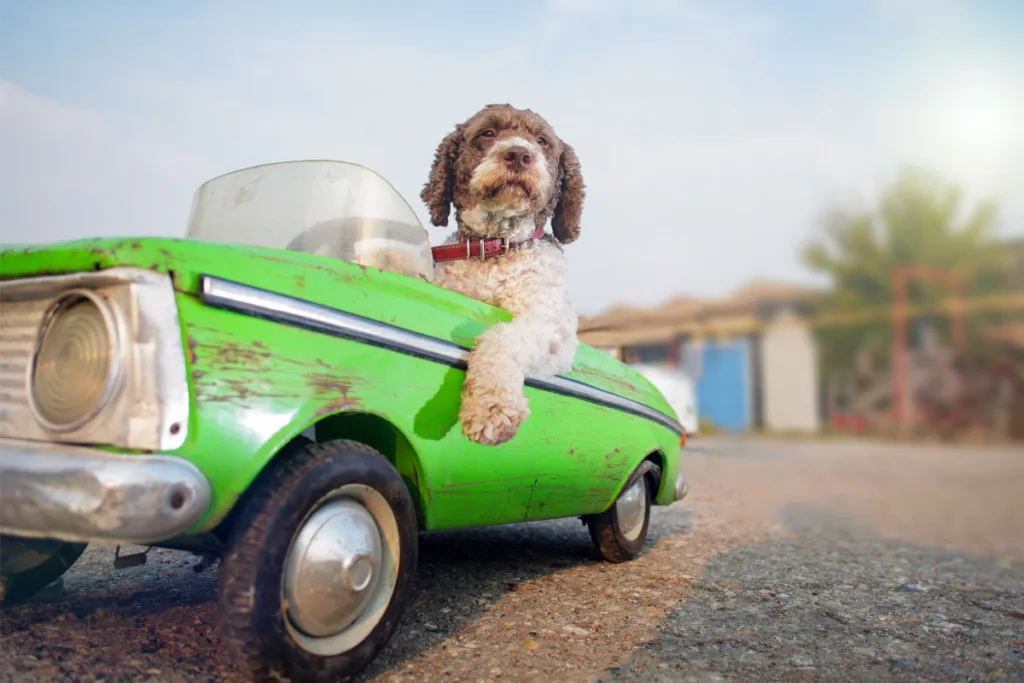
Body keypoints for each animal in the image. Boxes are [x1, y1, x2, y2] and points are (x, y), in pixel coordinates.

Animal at [421, 100, 585, 444]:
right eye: (487, 133)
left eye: (542, 141)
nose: (518, 154)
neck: (495, 250)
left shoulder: (552, 329)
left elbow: (501, 336)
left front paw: (491, 408)